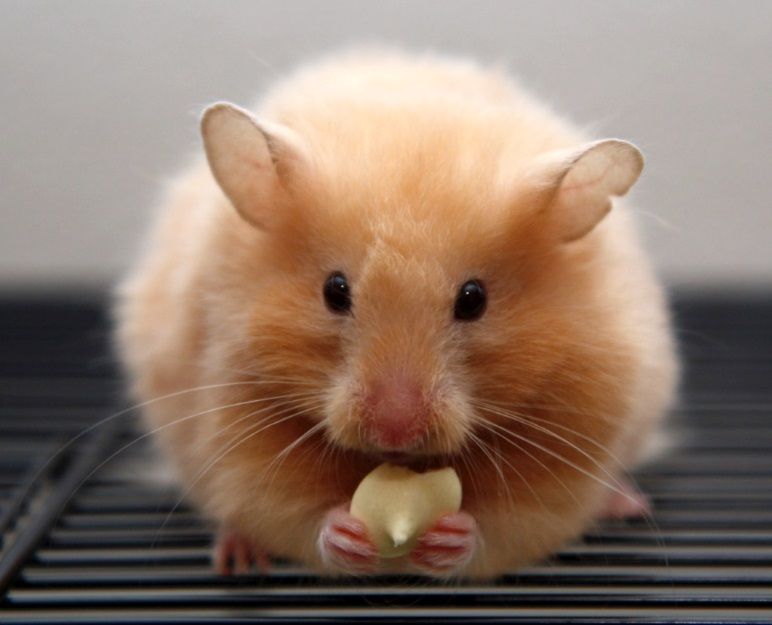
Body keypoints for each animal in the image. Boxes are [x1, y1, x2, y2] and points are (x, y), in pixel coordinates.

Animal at [114, 50, 678, 579]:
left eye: (474, 299)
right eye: (334, 291)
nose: (395, 432)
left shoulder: (575, 431)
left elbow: (515, 523)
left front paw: (452, 538)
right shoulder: (233, 399)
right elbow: (282, 508)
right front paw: (343, 534)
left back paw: (628, 502)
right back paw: (238, 558)